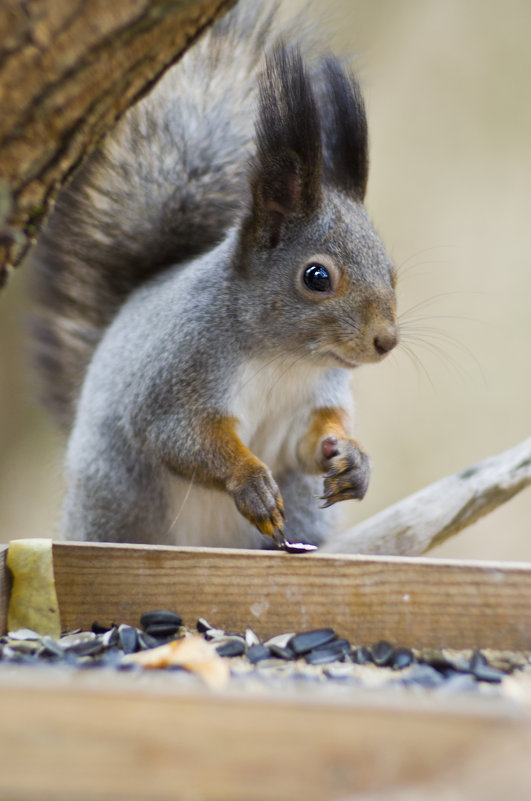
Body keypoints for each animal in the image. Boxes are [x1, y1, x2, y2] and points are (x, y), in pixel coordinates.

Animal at [30, 1, 400, 552]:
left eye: (392, 272)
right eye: (316, 277)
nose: (386, 341)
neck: (283, 359)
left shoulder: (311, 403)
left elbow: (312, 439)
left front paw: (353, 460)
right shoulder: (174, 379)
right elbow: (186, 438)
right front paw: (251, 483)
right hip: (119, 498)